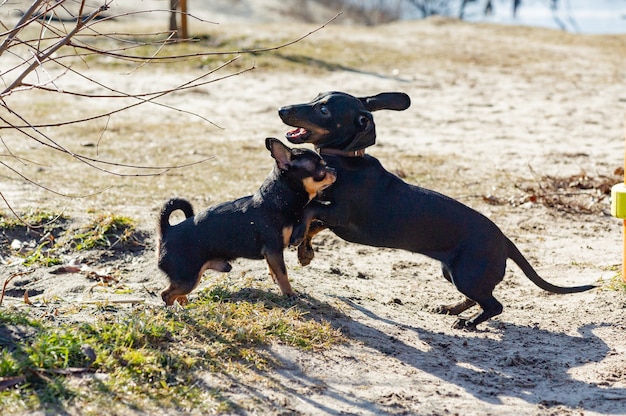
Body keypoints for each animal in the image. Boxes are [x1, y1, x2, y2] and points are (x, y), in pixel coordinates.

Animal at [156, 138, 336, 304]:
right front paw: (289, 294)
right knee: (166, 294)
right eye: (320, 168)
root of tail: (167, 230)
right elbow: (283, 273)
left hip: (189, 277)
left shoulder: (272, 254)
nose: (334, 169)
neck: (278, 200)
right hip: (188, 278)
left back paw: (185, 304)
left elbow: (275, 270)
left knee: (175, 293)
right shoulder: (274, 250)